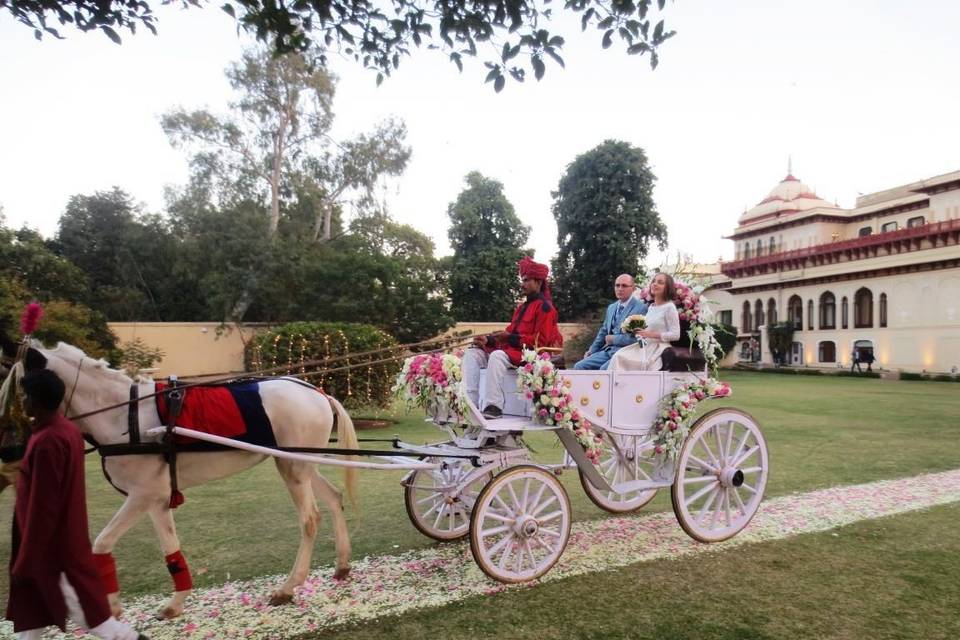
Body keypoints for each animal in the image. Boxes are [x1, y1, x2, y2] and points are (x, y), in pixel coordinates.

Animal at [0, 336, 360, 620]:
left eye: (17, 390)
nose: (8, 451)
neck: (124, 414)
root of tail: (317, 392)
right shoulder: (157, 499)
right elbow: (170, 550)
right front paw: (175, 603)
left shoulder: (142, 495)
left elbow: (101, 542)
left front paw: (110, 607)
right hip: (300, 462)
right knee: (333, 498)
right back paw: (342, 564)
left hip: (293, 467)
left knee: (310, 519)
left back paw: (288, 587)